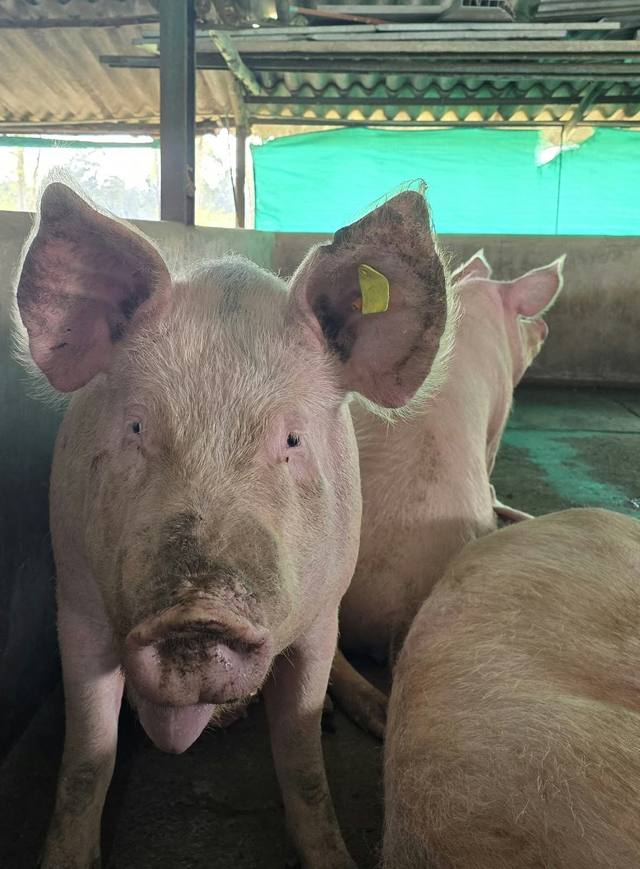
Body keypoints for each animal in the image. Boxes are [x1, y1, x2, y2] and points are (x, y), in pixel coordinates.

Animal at [14, 182, 450, 869]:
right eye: (136, 426)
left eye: (292, 439)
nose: (198, 613)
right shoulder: (75, 599)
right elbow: (86, 761)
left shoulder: (318, 615)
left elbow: (302, 758)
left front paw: (333, 854)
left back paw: (377, 717)